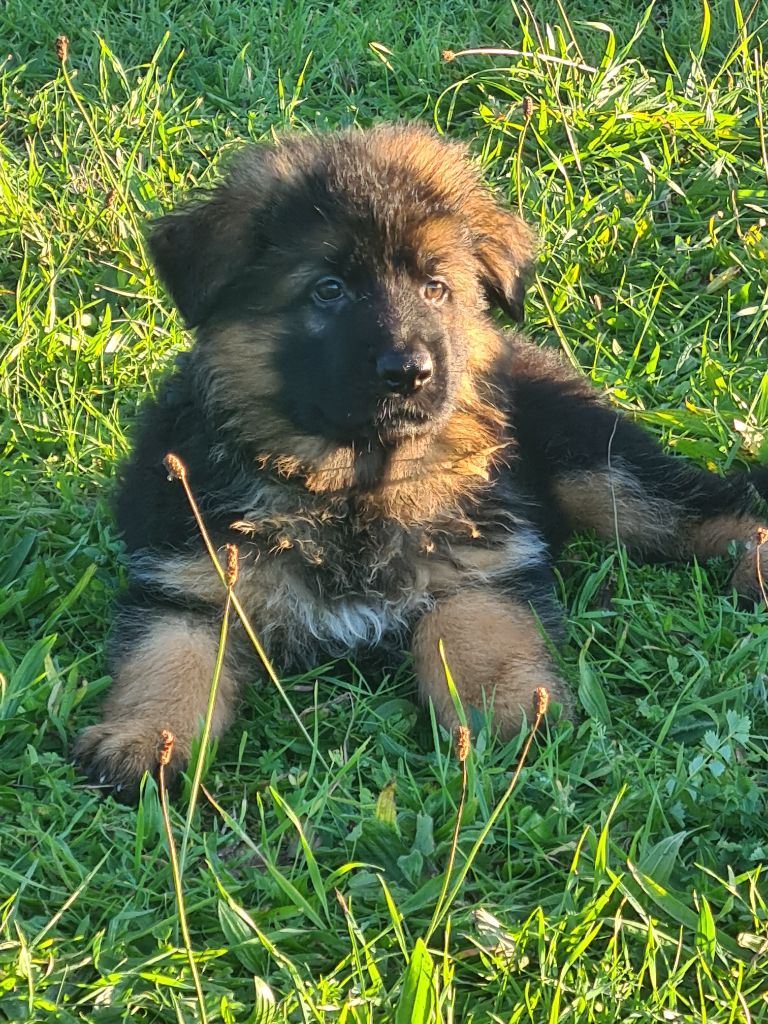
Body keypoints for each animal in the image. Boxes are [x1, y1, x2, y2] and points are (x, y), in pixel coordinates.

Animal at [73, 123, 768, 798]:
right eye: (328, 290)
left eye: (436, 288)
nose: (410, 373)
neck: (348, 488)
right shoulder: (193, 584)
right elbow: (168, 662)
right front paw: (141, 741)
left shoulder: (474, 565)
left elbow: (475, 638)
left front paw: (510, 719)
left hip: (596, 469)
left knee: (710, 504)